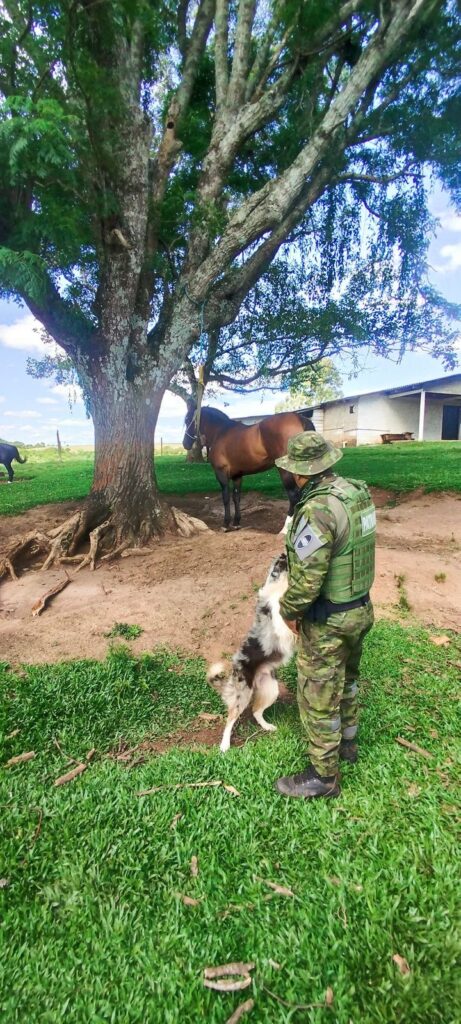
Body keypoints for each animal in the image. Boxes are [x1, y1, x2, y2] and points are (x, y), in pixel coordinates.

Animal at [182, 401, 315, 528]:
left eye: (188, 420)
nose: (185, 443)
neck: (220, 432)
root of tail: (299, 418)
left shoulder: (221, 472)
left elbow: (225, 497)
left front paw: (226, 524)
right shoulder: (237, 475)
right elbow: (236, 497)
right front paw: (236, 522)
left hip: (286, 471)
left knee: (294, 496)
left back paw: (284, 530)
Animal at [205, 552, 292, 753]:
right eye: (277, 565)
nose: (284, 553)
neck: (279, 587)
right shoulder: (279, 618)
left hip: (271, 689)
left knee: (256, 711)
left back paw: (267, 727)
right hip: (242, 696)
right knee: (230, 718)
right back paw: (224, 745)